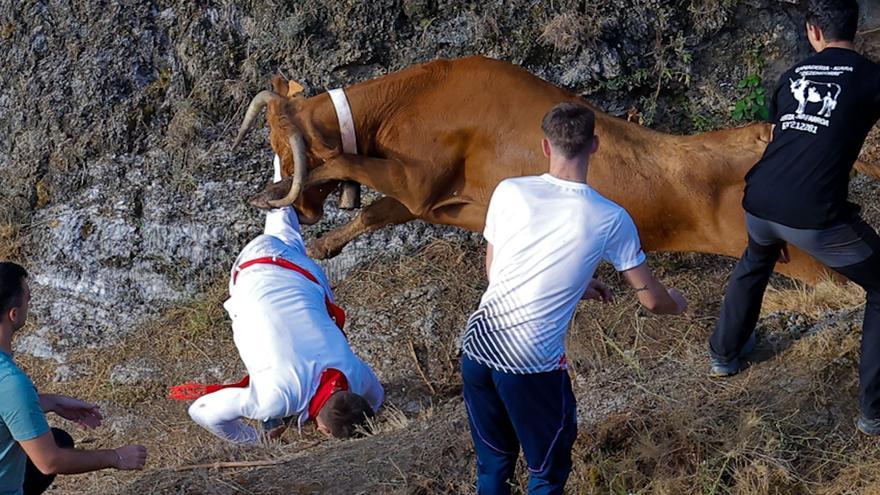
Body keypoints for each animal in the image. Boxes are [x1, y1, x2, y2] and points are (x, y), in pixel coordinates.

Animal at [234, 56, 880, 283]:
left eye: (285, 148)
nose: (290, 202)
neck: (410, 99)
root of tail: (763, 132)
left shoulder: (418, 180)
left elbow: (354, 166)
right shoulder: (434, 200)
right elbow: (375, 214)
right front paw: (327, 246)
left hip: (803, 257)